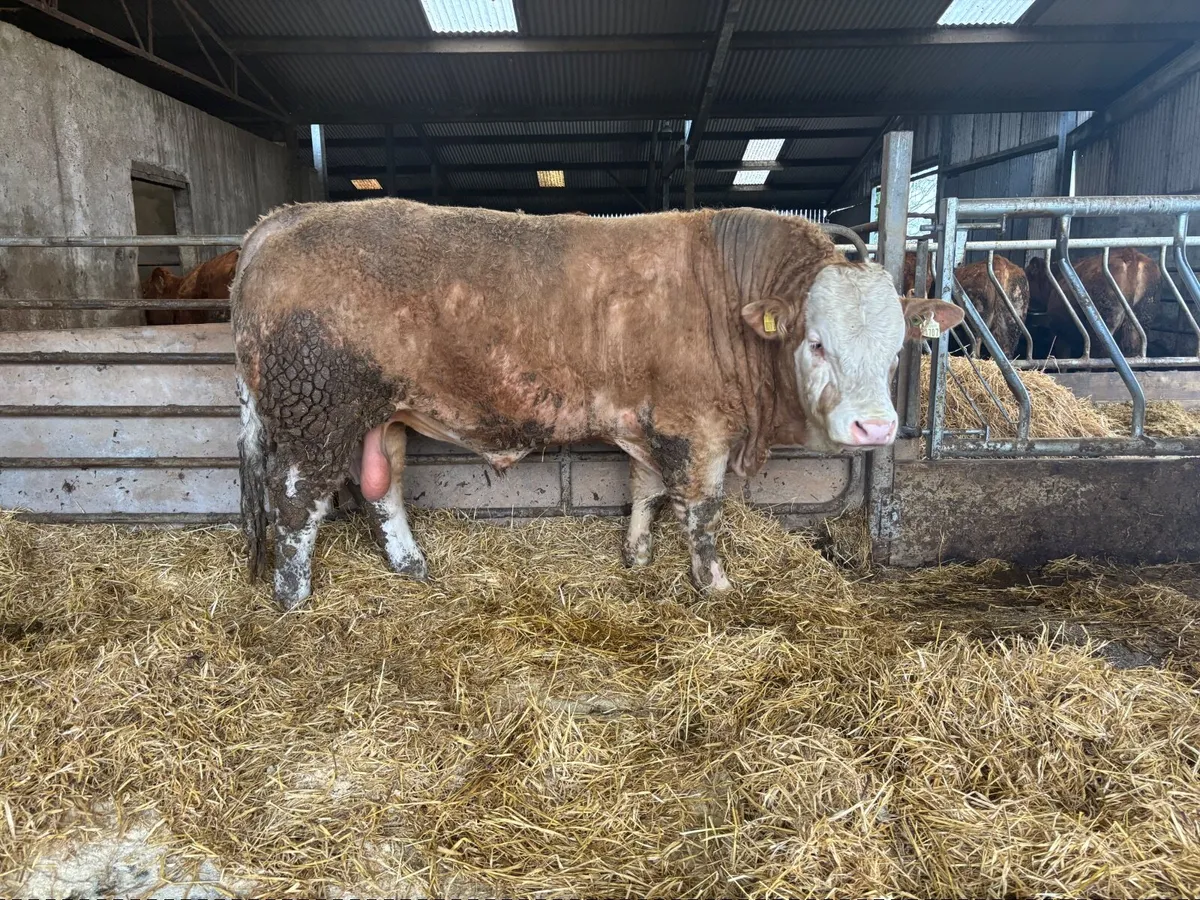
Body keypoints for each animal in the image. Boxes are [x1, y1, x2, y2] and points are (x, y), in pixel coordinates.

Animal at [231, 200, 962, 609]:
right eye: (816, 342)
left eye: (897, 348)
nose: (876, 427)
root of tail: (281, 220)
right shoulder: (697, 429)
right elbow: (702, 511)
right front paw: (715, 585)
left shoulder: (652, 419)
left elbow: (645, 488)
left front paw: (637, 555)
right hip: (315, 409)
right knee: (295, 498)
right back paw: (293, 597)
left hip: (378, 413)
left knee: (381, 487)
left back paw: (412, 566)